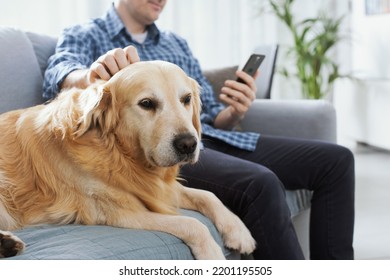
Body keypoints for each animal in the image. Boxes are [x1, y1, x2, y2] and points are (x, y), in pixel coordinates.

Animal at [0, 60, 256, 258]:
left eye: (186, 99)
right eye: (146, 103)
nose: (188, 144)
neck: (118, 152)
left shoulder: (159, 189)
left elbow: (208, 195)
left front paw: (238, 231)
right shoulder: (120, 212)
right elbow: (193, 223)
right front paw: (213, 254)